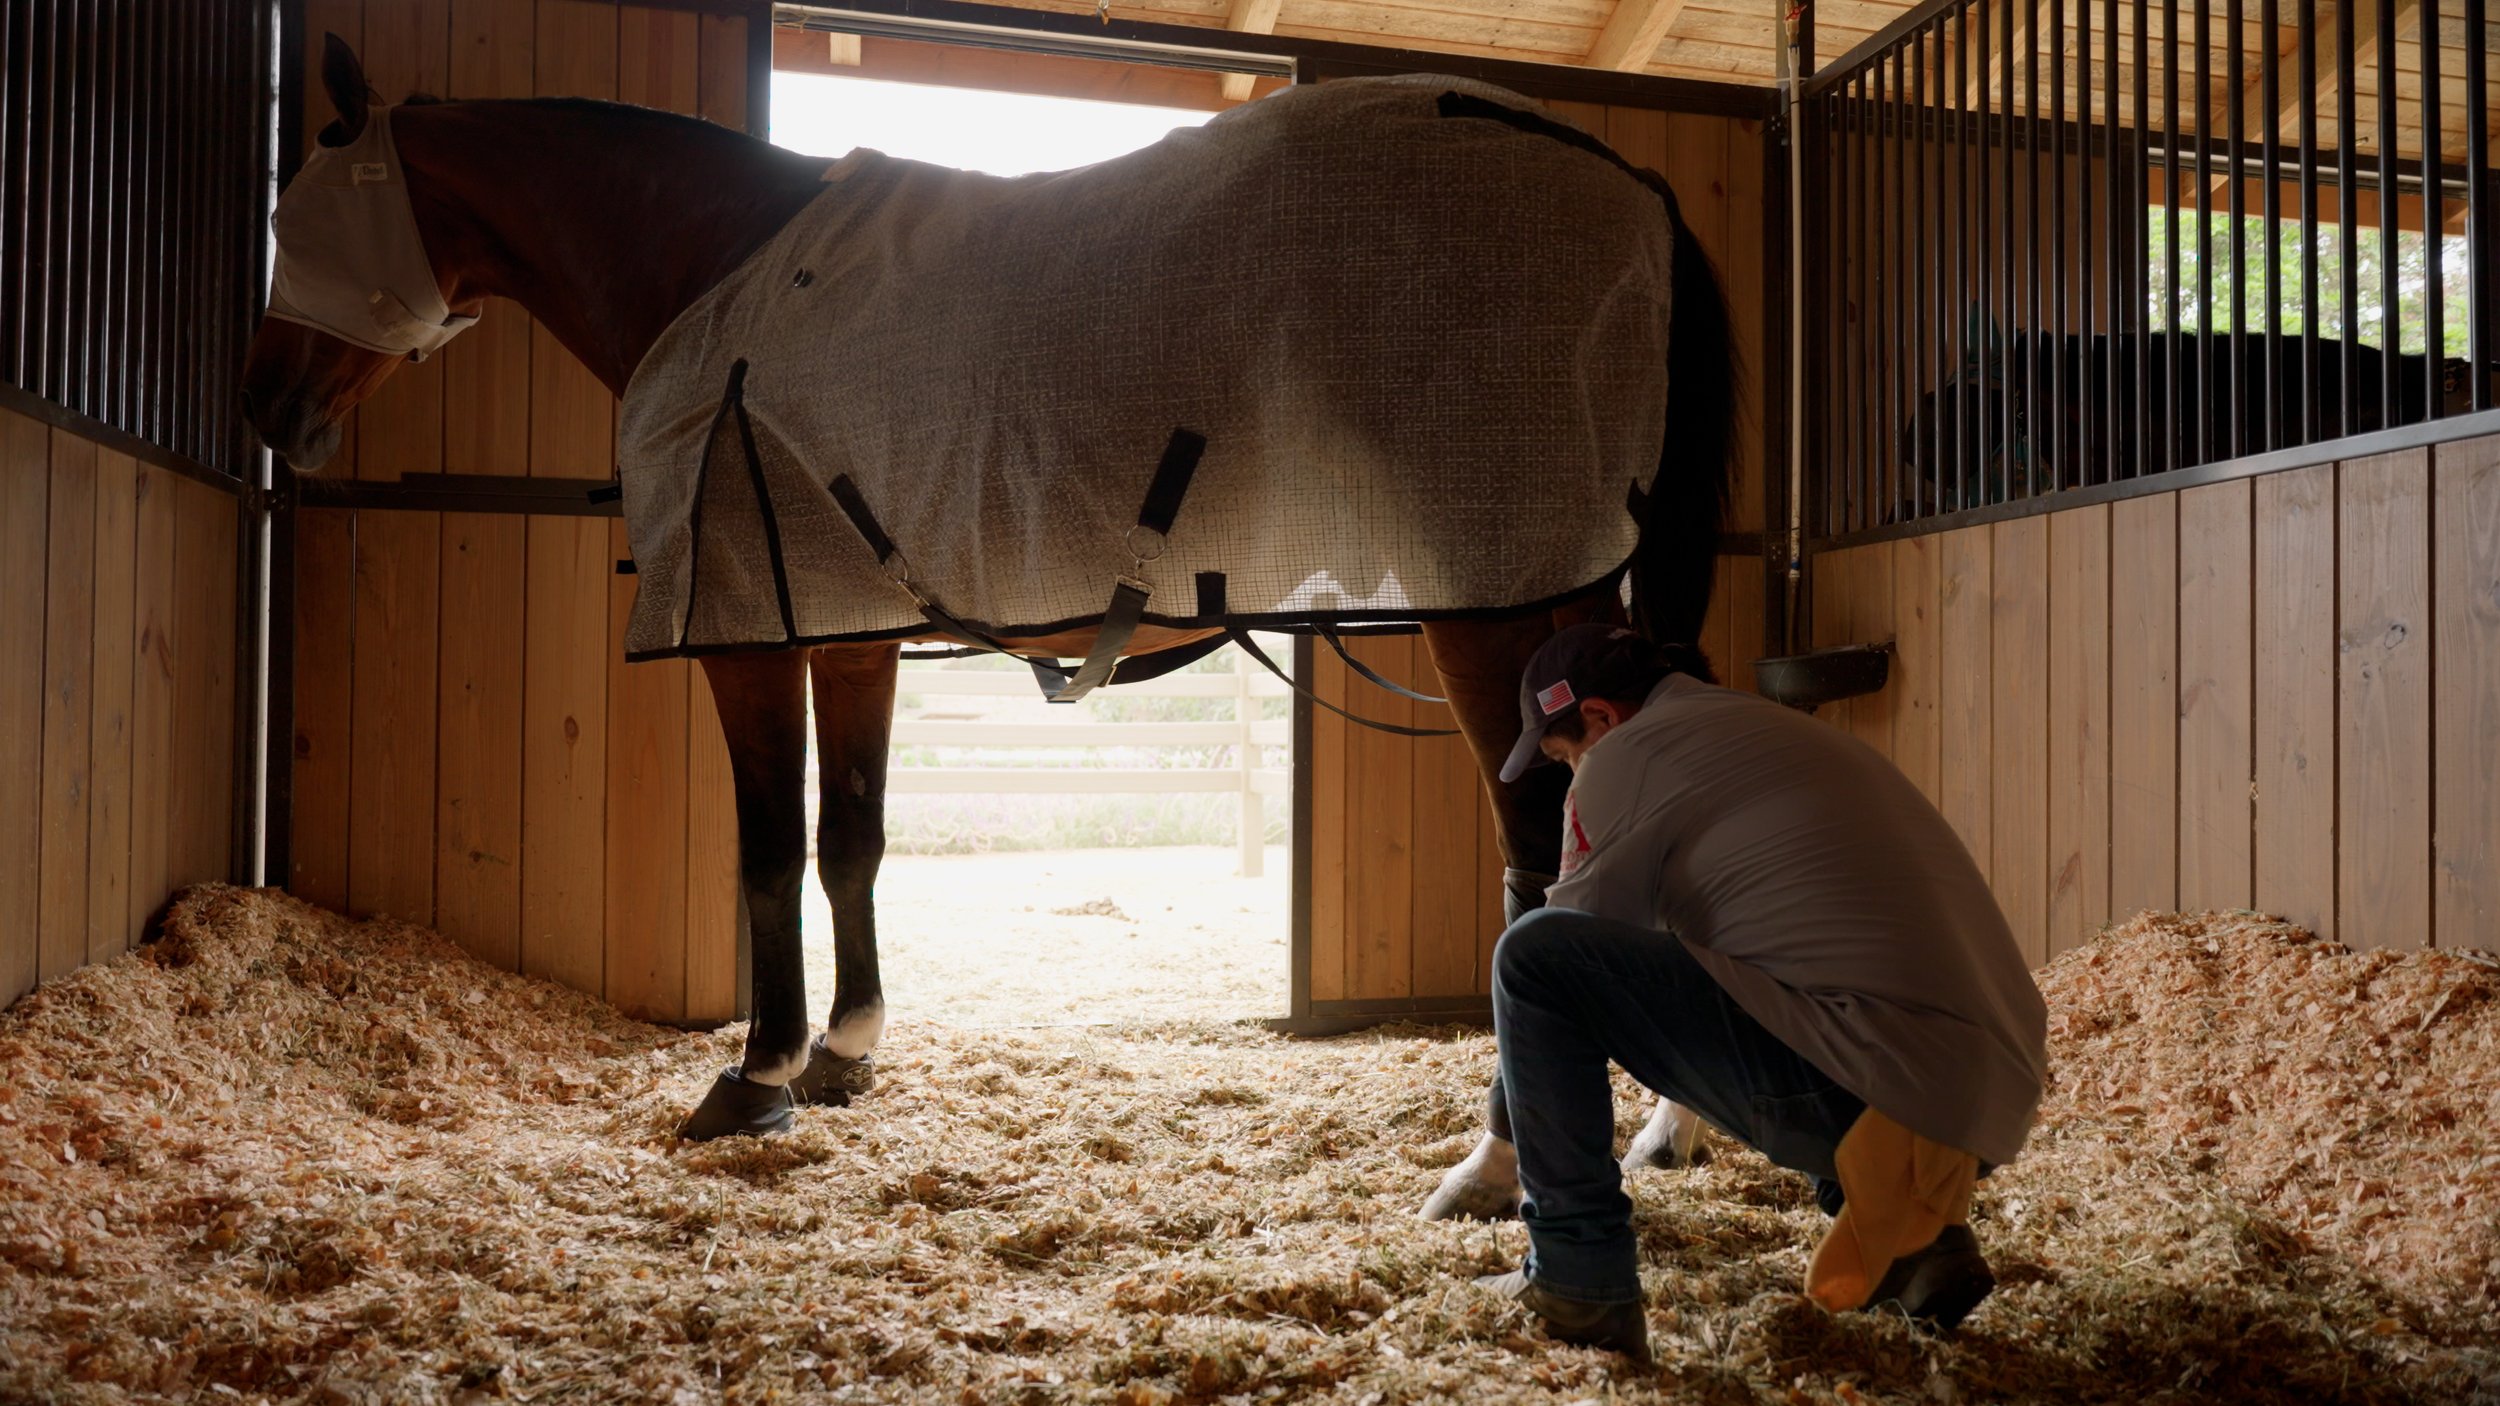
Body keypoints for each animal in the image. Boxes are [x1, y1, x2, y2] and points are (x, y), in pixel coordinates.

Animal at [243, 37, 1738, 1141]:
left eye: (297, 215)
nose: (268, 407)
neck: (720, 274)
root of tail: (1616, 173)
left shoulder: (745, 629)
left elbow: (765, 849)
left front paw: (755, 1076)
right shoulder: (845, 634)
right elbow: (848, 839)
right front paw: (843, 1053)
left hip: (1497, 605)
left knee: (1541, 855)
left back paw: (1501, 1152)